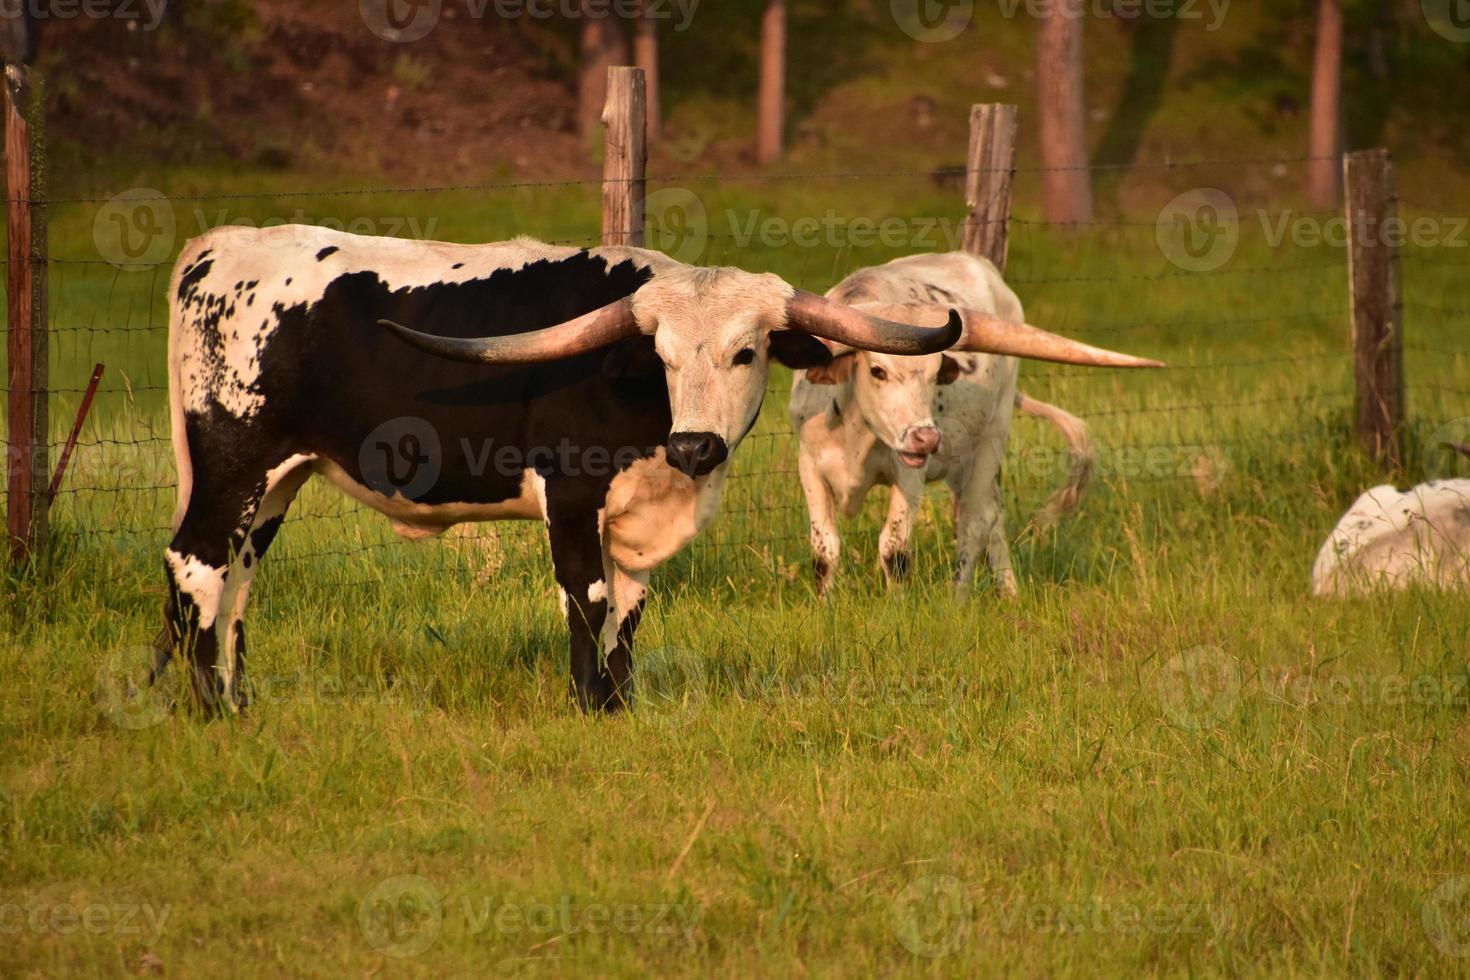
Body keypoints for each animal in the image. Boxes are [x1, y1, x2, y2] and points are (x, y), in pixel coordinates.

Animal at [793, 249, 1158, 593]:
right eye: (877, 370)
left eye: (935, 375)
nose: (926, 439)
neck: (854, 431)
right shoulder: (809, 463)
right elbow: (824, 549)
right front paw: (826, 606)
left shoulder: (909, 473)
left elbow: (894, 549)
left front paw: (895, 607)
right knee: (992, 517)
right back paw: (1008, 593)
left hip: (992, 435)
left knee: (974, 523)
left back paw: (960, 599)